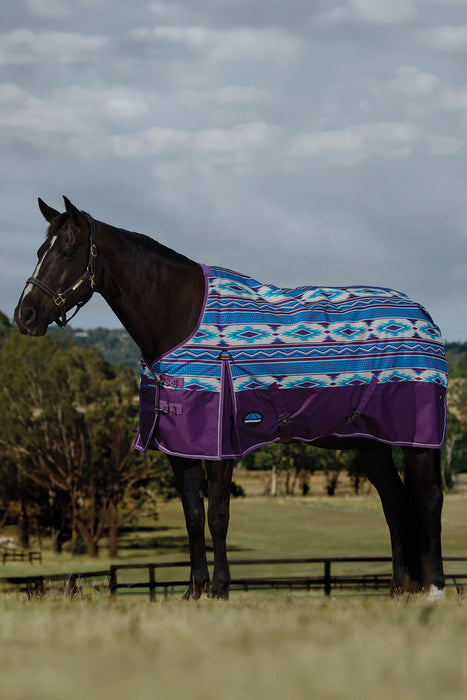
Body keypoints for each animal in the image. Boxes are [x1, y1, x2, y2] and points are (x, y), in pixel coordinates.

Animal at [15, 196, 447, 600]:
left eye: (67, 251)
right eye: (39, 252)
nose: (25, 315)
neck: (180, 316)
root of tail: (424, 315)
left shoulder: (221, 446)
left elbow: (218, 515)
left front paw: (220, 588)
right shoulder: (180, 448)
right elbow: (193, 516)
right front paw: (193, 590)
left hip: (419, 441)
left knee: (429, 500)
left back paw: (435, 589)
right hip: (371, 443)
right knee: (394, 502)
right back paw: (400, 588)